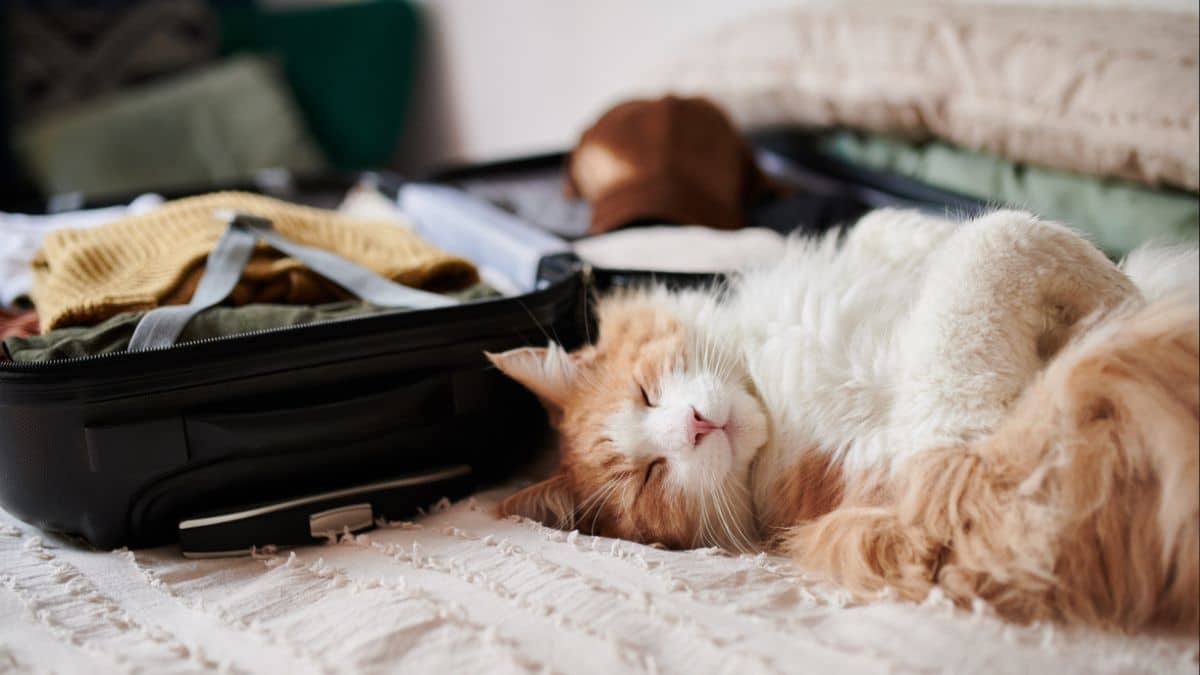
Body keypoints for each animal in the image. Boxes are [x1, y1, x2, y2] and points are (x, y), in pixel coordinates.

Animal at [487, 207, 1200, 629]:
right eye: (649, 477)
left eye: (644, 392)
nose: (694, 426)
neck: (769, 391)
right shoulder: (963, 486)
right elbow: (997, 241)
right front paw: (1129, 303)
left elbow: (905, 227)